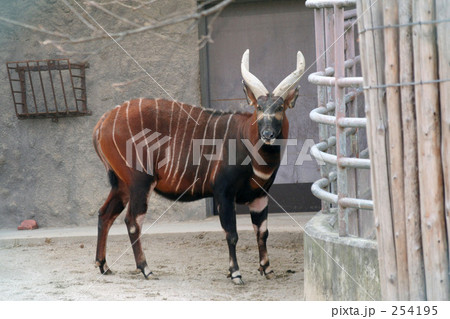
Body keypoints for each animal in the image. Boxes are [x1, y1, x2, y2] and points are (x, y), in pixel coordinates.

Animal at [92, 49, 304, 284]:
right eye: (259, 107)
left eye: (280, 107)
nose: (267, 134)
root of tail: (102, 123)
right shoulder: (224, 193)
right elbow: (231, 234)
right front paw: (235, 273)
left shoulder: (259, 196)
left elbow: (262, 232)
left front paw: (266, 269)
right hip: (140, 181)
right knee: (132, 220)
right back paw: (146, 269)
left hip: (122, 184)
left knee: (104, 214)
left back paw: (103, 266)